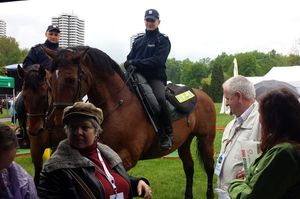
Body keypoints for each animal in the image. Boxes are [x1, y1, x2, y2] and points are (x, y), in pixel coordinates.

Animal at [44, 46, 216, 197]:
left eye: (70, 79)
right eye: (49, 80)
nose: (57, 120)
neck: (118, 103)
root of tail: (203, 94)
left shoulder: (126, 157)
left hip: (206, 139)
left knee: (209, 167)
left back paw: (210, 194)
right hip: (185, 141)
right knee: (189, 167)